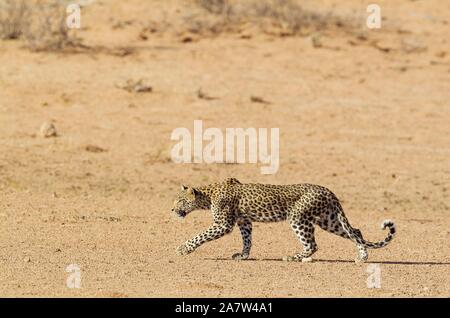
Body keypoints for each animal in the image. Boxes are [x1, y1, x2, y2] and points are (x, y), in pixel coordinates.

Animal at [171, 178, 396, 262]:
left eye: (180, 200)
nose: (172, 209)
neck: (207, 196)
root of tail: (328, 190)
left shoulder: (223, 225)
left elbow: (200, 236)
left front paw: (183, 248)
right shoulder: (244, 221)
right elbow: (247, 239)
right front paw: (243, 255)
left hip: (298, 218)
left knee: (312, 244)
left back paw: (294, 257)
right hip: (329, 220)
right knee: (356, 231)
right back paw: (362, 257)